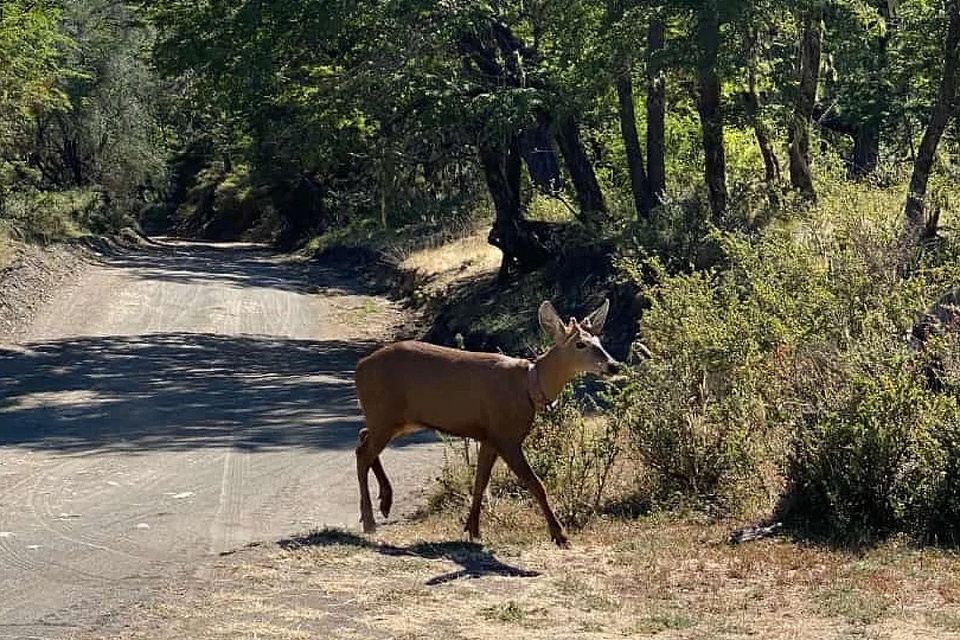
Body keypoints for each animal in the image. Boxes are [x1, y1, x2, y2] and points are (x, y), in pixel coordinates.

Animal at [356, 298, 620, 548]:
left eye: (599, 340)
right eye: (580, 343)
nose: (613, 365)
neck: (528, 386)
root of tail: (360, 367)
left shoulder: (489, 437)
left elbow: (480, 482)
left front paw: (472, 529)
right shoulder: (506, 436)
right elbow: (536, 484)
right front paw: (560, 535)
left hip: (398, 419)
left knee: (363, 437)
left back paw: (385, 502)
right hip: (385, 413)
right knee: (363, 452)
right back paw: (369, 521)